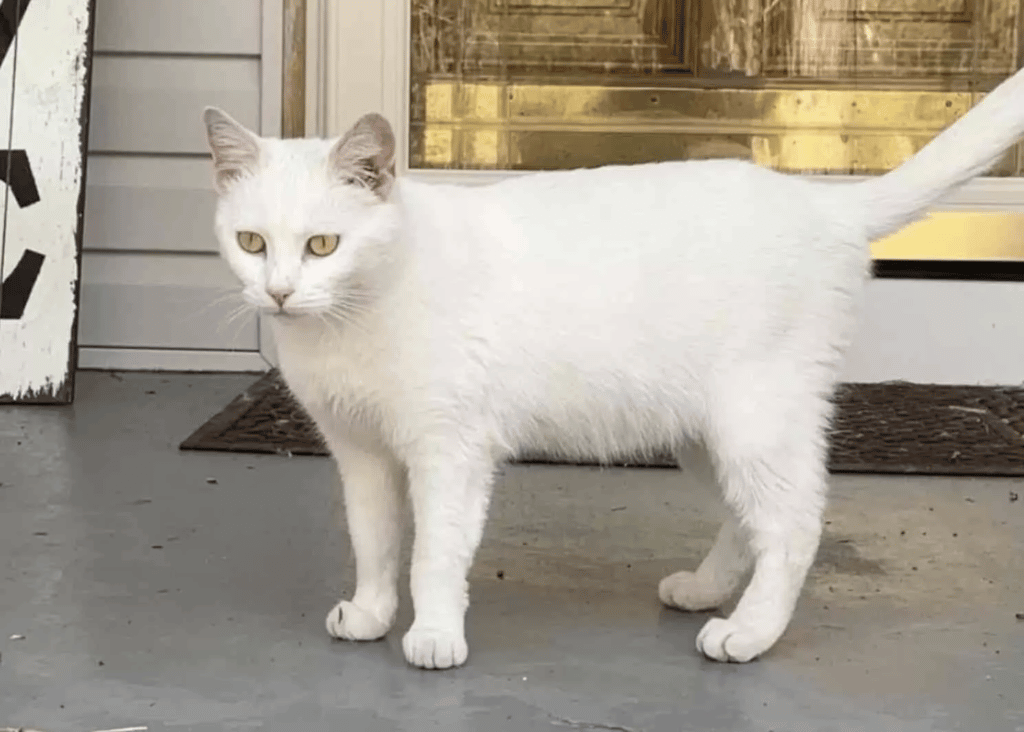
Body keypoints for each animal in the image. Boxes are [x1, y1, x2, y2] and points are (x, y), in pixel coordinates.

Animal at [203, 68, 1024, 671]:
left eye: (322, 246)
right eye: (251, 242)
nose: (279, 292)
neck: (353, 319)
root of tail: (828, 207)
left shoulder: (449, 452)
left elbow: (434, 551)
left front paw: (433, 635)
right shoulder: (361, 453)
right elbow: (374, 542)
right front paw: (373, 613)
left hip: (755, 425)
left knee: (794, 524)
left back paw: (749, 632)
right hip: (705, 439)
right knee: (747, 519)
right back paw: (706, 592)